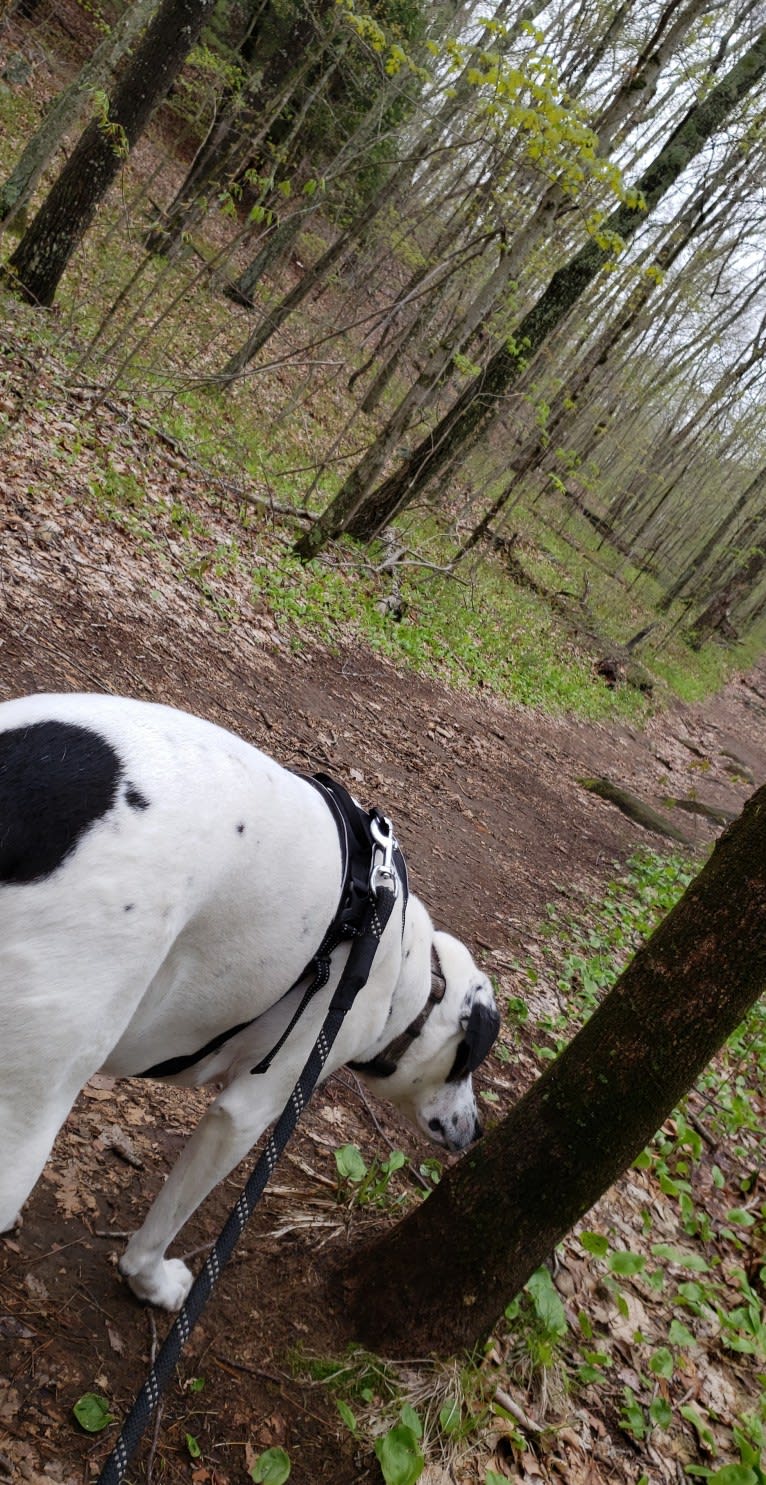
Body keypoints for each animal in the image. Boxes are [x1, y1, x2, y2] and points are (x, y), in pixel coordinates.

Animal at [0, 689, 495, 1306]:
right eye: (469, 1065)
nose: (477, 1131)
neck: (407, 965)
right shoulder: (247, 1112)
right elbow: (168, 1221)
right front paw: (151, 1281)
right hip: (26, 1118)